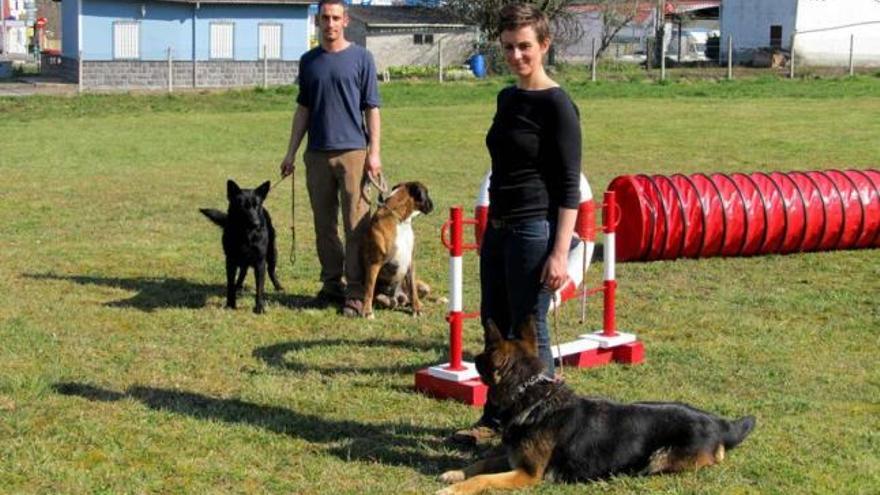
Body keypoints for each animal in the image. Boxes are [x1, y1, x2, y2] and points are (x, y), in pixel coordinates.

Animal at [199, 181, 282, 314]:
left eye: (256, 206)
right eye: (243, 206)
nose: (256, 224)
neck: (245, 234)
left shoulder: (259, 262)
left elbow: (259, 288)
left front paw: (259, 308)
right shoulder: (230, 261)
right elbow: (230, 285)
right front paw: (230, 305)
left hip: (272, 253)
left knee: (271, 271)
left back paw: (278, 286)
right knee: (243, 271)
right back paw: (238, 286)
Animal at [360, 184, 434, 320]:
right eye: (426, 193)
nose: (432, 204)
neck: (401, 221)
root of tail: (400, 296)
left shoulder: (410, 262)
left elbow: (413, 289)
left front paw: (417, 309)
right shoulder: (374, 263)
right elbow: (369, 289)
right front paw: (367, 312)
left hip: (425, 287)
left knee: (411, 296)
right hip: (385, 298)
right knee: (393, 302)